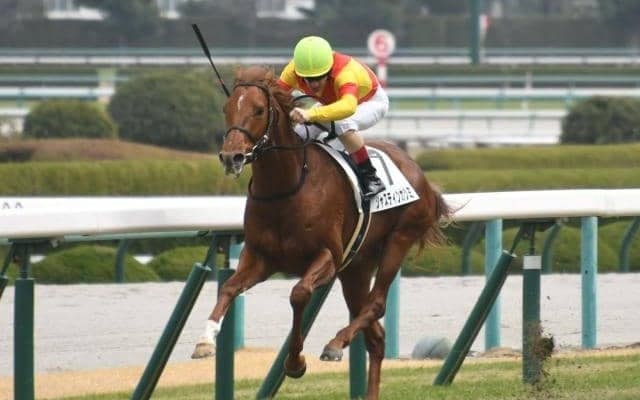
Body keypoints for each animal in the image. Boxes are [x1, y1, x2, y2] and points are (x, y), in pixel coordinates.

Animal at [192, 65, 451, 399]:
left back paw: (335, 343)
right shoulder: (261, 257)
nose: (231, 156)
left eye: (259, 109)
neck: (287, 186)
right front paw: (205, 340)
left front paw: (296, 362)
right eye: (226, 108)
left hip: (399, 239)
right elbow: (228, 288)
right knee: (376, 336)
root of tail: (421, 175)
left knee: (377, 304)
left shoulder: (327, 256)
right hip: (355, 268)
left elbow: (299, 294)